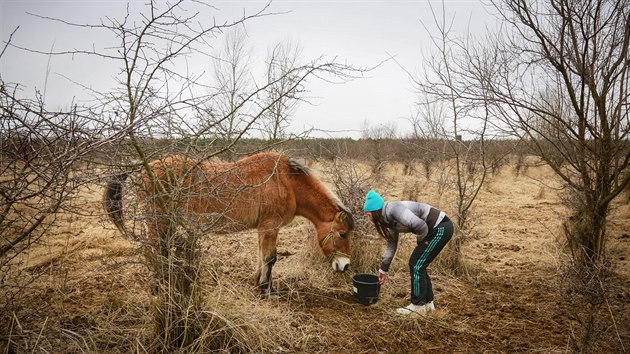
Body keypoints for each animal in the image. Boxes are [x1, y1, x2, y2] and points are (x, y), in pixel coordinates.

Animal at [106, 151, 358, 296]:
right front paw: (265, 291)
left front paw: (260, 283)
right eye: (342, 234)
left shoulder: (263, 228)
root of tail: (143, 167)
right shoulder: (271, 226)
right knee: (154, 252)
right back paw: (157, 288)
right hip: (156, 221)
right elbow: (270, 258)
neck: (286, 181)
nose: (345, 266)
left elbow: (261, 256)